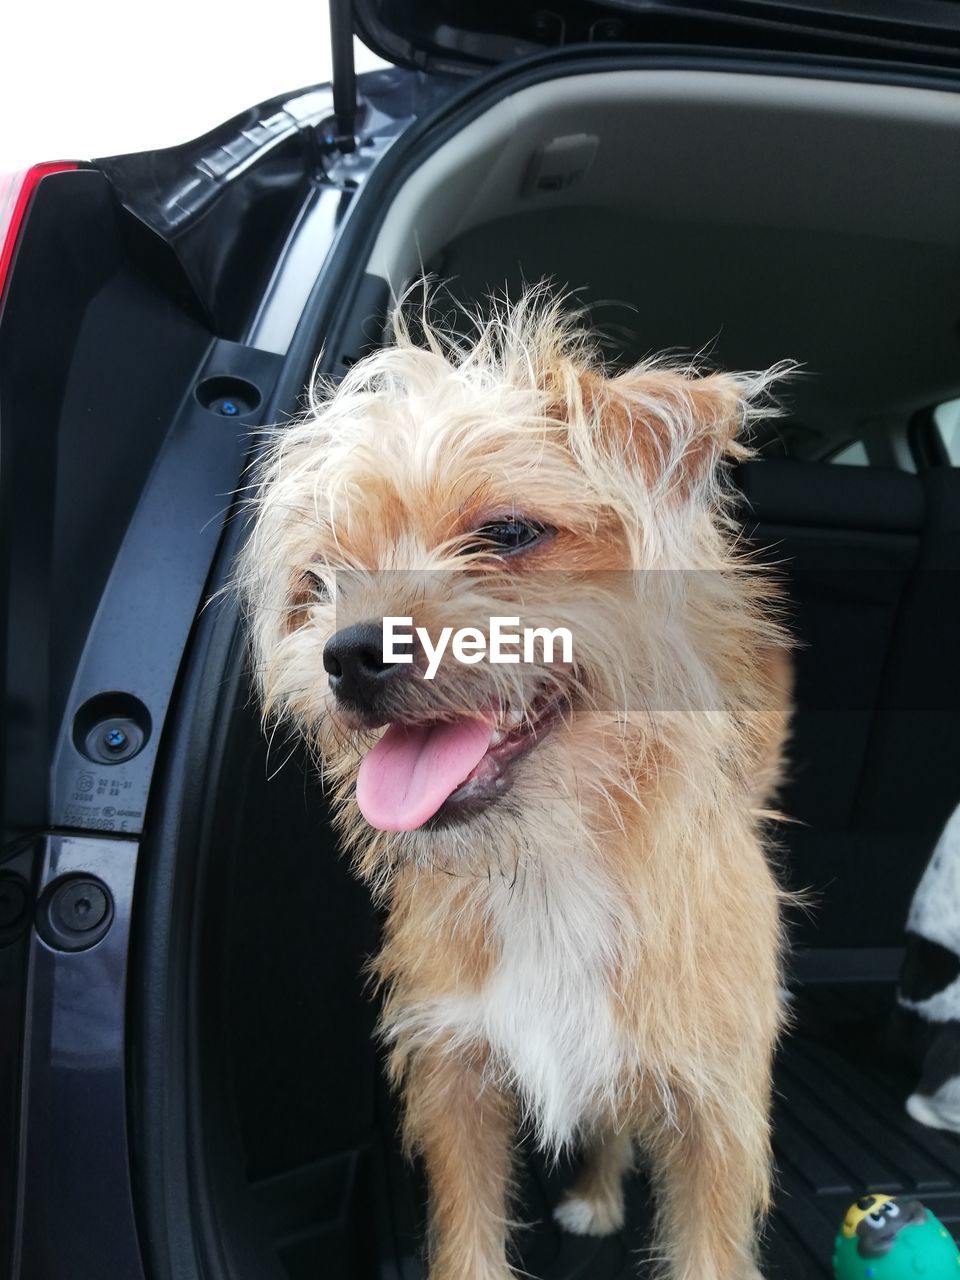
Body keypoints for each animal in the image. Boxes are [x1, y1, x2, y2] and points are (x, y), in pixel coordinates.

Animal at [236, 293, 793, 1280]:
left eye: (509, 533)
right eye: (320, 578)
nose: (348, 653)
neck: (549, 871)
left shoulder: (715, 1125)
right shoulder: (456, 1087)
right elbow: (469, 1240)